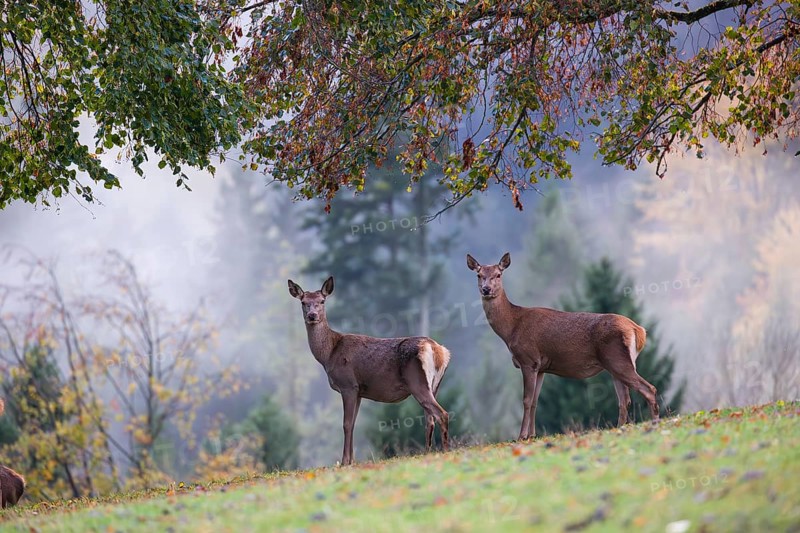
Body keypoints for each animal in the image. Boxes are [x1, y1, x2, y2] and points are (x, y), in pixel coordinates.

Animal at [288, 276, 451, 466]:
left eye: (322, 301)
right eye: (303, 302)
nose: (312, 315)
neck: (328, 355)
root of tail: (438, 350)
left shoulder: (348, 385)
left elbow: (346, 423)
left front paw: (344, 462)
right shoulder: (359, 390)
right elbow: (353, 424)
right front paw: (351, 460)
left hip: (417, 381)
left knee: (441, 414)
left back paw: (446, 451)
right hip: (434, 385)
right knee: (429, 419)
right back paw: (428, 453)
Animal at [466, 252, 660, 440]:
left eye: (498, 274)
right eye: (479, 275)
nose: (486, 289)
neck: (512, 328)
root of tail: (638, 330)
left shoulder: (528, 359)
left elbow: (526, 400)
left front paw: (521, 436)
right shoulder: (541, 367)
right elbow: (535, 401)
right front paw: (532, 435)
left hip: (617, 359)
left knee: (648, 389)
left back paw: (654, 423)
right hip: (615, 364)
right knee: (624, 399)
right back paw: (620, 428)